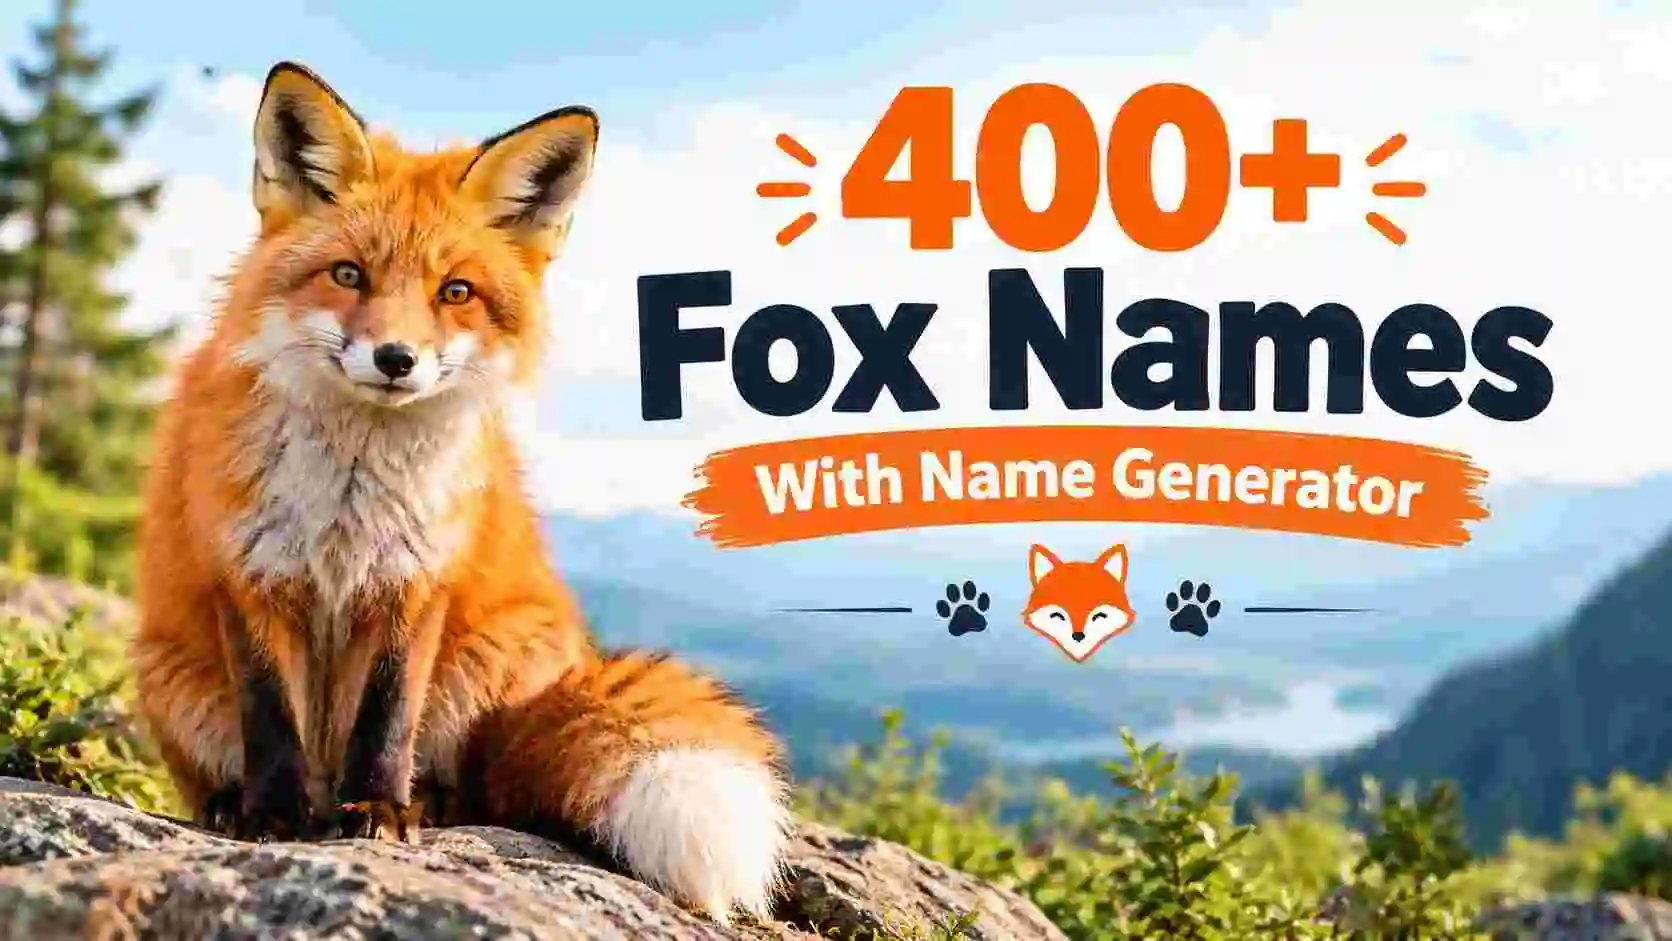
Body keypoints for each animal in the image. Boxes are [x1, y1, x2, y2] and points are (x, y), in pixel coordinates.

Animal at [129, 62, 788, 925]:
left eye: (456, 291)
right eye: (349, 274)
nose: (396, 358)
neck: (350, 495)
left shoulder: (416, 578)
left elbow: (386, 718)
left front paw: (377, 811)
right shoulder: (247, 569)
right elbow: (270, 716)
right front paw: (270, 813)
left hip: (499, 653)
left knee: (478, 787)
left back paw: (423, 801)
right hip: (165, 671)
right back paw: (234, 800)